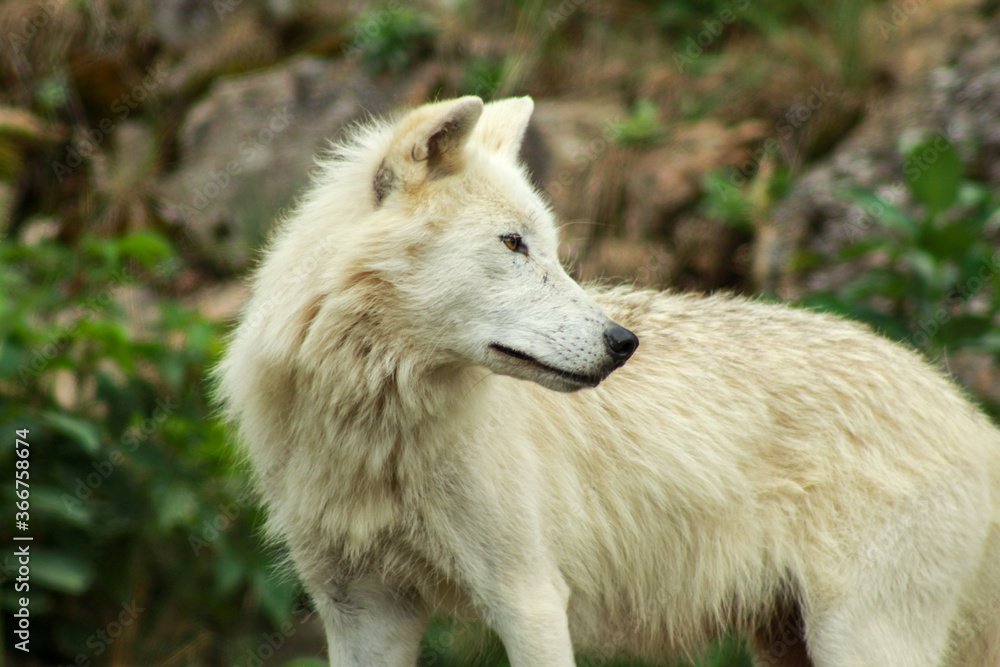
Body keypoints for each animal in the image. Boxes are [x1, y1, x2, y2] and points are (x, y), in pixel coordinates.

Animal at [215, 95, 1000, 667]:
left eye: (553, 249)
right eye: (513, 243)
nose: (623, 345)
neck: (377, 425)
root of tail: (967, 413)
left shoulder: (529, 597)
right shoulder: (361, 609)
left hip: (861, 642)